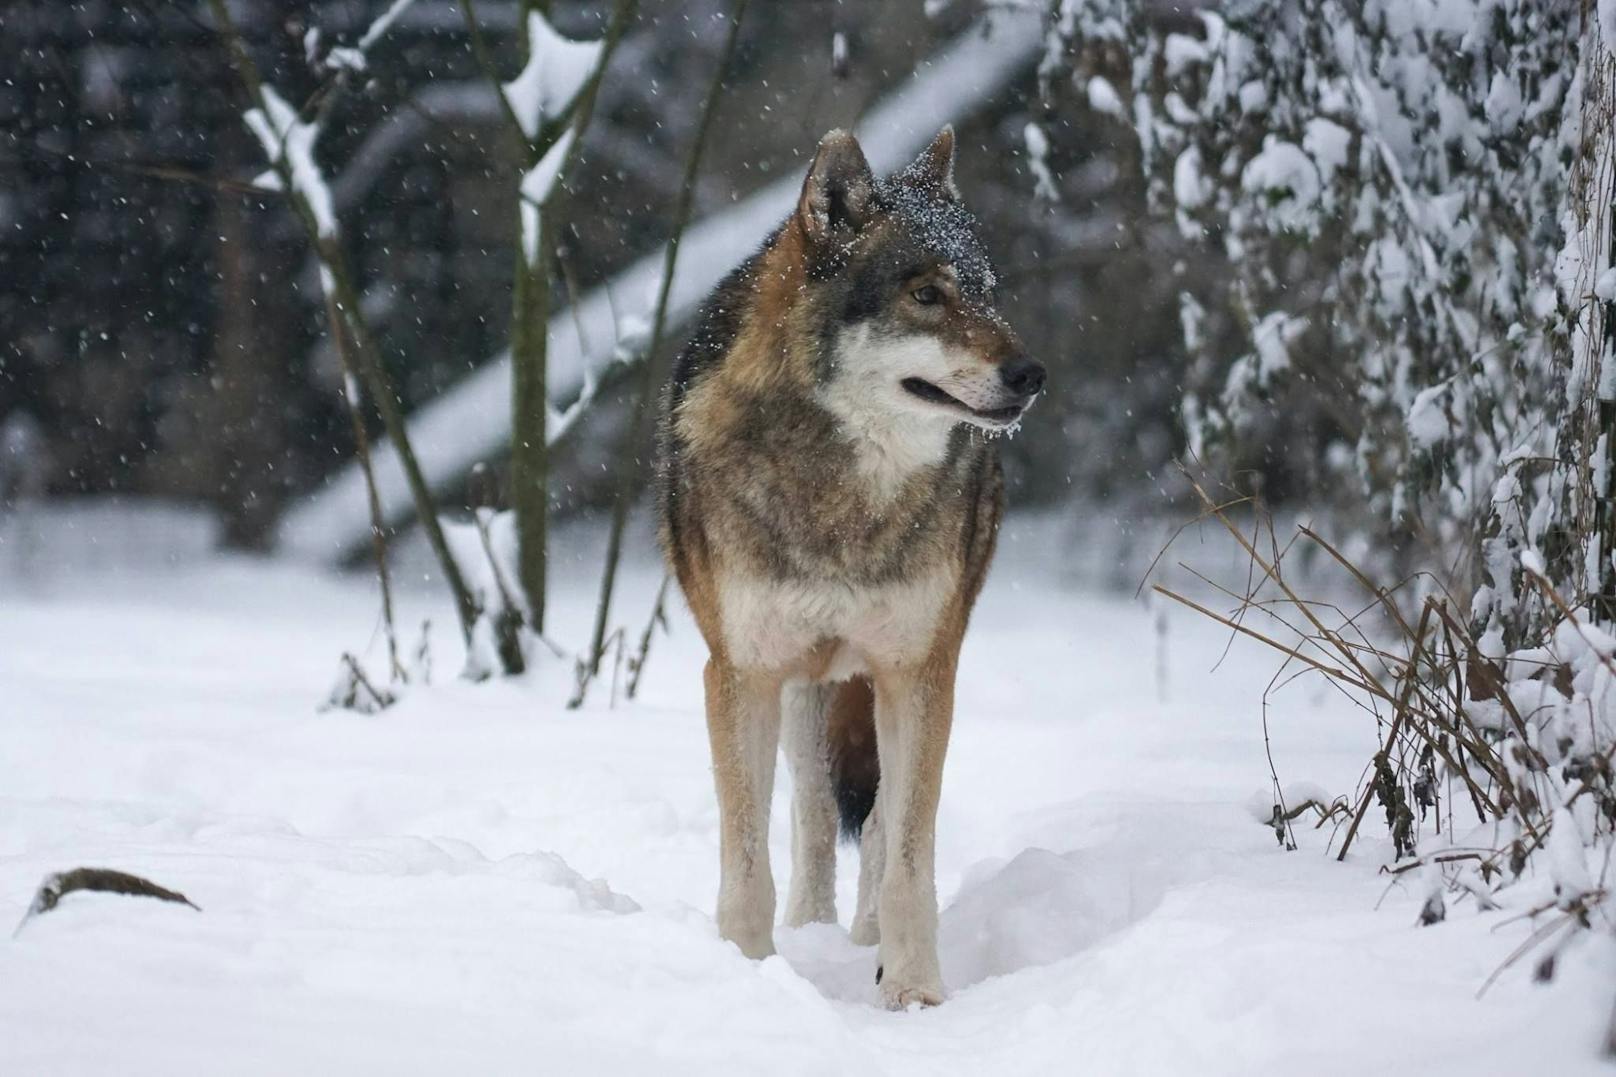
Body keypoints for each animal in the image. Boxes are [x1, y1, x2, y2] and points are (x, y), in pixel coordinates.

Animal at [659, 126, 1047, 1009]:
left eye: (989, 293)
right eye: (927, 295)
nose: (1031, 374)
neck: (843, 495)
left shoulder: (921, 669)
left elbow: (906, 854)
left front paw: (912, 990)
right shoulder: (739, 672)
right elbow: (747, 865)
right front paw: (749, 977)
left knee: (871, 822)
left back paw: (865, 938)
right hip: (806, 683)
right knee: (808, 811)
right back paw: (810, 929)